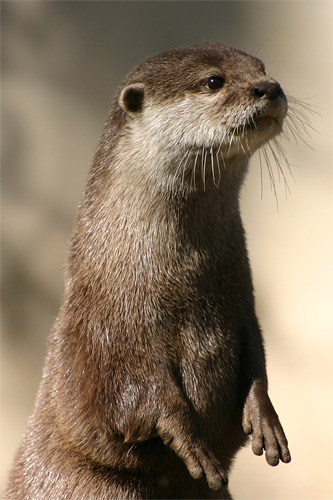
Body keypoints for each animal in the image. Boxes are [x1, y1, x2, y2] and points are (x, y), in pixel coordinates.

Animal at [4, 44, 290, 500]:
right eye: (214, 81)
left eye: (261, 67)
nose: (270, 87)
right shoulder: (111, 332)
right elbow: (142, 398)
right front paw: (192, 444)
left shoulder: (244, 307)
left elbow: (257, 362)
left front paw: (265, 418)